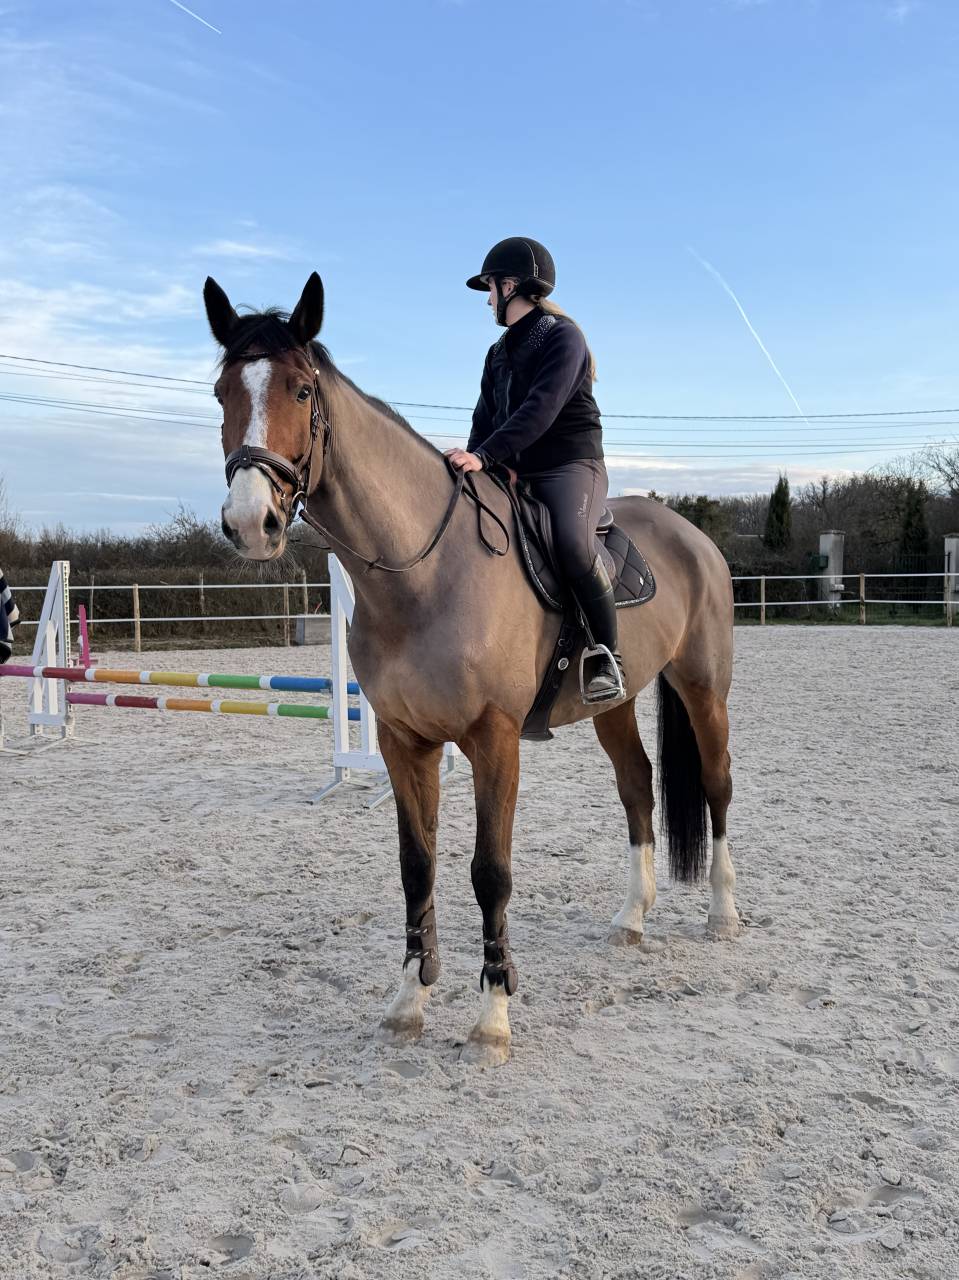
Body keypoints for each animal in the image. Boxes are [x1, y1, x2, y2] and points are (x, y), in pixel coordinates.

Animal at [204, 271, 739, 1067]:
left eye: (301, 390)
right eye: (221, 393)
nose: (250, 524)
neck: (423, 572)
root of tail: (690, 533)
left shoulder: (494, 740)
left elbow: (490, 872)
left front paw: (491, 1018)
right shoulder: (402, 741)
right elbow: (416, 866)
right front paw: (407, 1002)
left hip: (703, 686)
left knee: (714, 783)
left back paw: (723, 912)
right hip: (611, 705)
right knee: (637, 789)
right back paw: (631, 919)